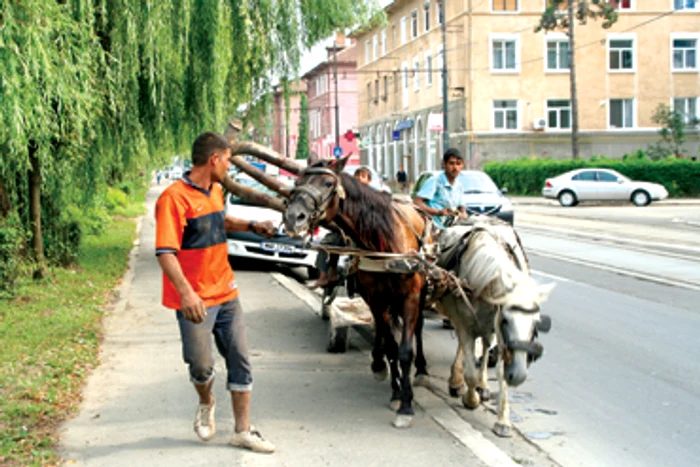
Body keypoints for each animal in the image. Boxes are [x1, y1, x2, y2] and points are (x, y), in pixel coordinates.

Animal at [282, 156, 430, 428]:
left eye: (328, 183)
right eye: (296, 182)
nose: (293, 217)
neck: (384, 244)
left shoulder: (411, 297)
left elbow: (406, 350)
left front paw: (407, 405)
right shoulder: (376, 298)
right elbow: (392, 347)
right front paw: (397, 393)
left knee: (419, 328)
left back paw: (422, 370)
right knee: (384, 331)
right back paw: (378, 363)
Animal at [438, 218, 552, 438]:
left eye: (535, 323)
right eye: (506, 320)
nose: (519, 375)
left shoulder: (498, 331)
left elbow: (500, 371)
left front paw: (503, 420)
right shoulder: (467, 324)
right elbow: (470, 372)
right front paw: (470, 399)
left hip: (486, 327)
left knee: (484, 345)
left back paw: (482, 385)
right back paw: (457, 382)